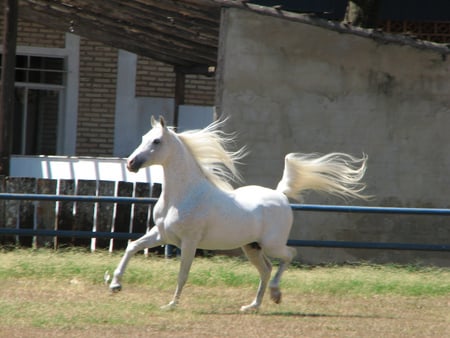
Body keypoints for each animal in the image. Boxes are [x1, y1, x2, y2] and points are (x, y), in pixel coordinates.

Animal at [110, 116, 370, 312]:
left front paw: (171, 304)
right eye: (143, 138)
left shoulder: (189, 242)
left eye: (156, 141)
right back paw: (253, 305)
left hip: (272, 244)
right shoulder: (163, 235)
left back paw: (276, 294)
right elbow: (132, 246)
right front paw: (114, 284)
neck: (184, 194)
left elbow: (183, 273)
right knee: (266, 269)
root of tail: (281, 195)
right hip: (251, 247)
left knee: (289, 255)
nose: (131, 163)